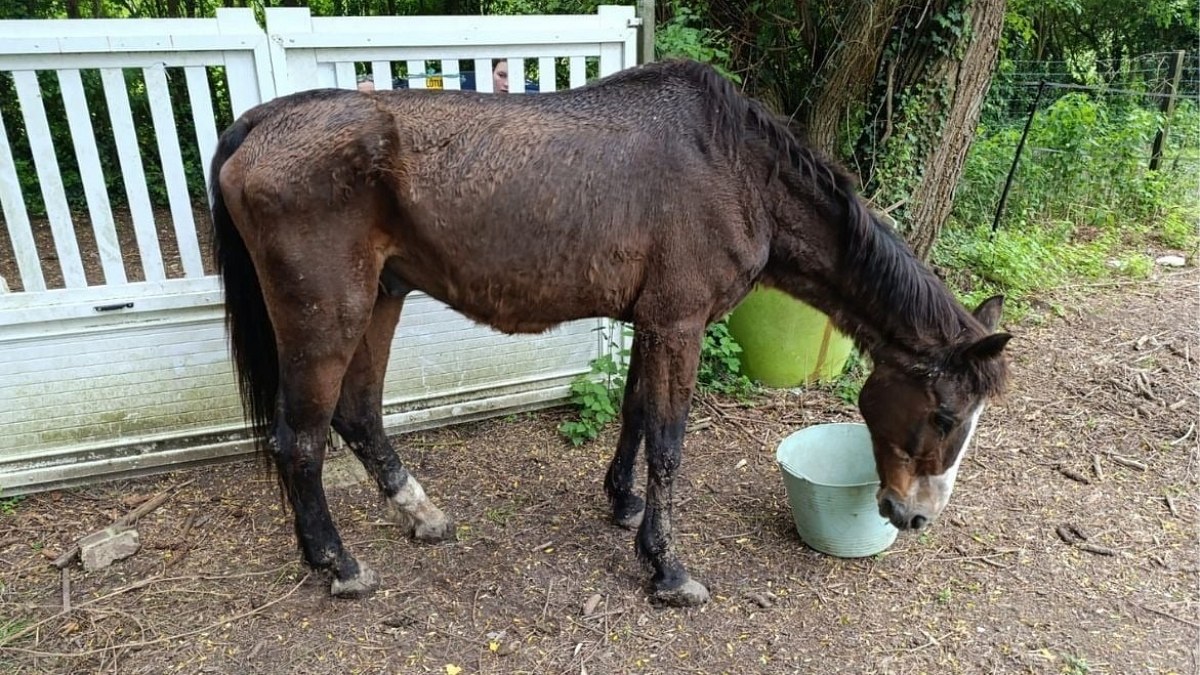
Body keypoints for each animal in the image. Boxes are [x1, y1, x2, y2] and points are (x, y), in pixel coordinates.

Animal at [208, 58, 1012, 607]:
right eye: (946, 414)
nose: (915, 515)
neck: (735, 168)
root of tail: (264, 122)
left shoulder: (650, 323)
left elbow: (634, 415)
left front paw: (621, 505)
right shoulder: (679, 325)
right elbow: (669, 439)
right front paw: (667, 567)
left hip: (381, 298)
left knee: (359, 414)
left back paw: (421, 515)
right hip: (328, 319)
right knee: (300, 440)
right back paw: (338, 565)